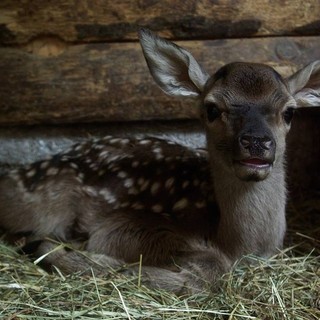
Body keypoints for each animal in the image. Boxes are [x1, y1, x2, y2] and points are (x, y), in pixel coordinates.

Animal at [0, 30, 320, 296]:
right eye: (211, 108)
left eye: (289, 111)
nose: (256, 142)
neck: (240, 246)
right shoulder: (128, 224)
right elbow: (212, 264)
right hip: (46, 205)